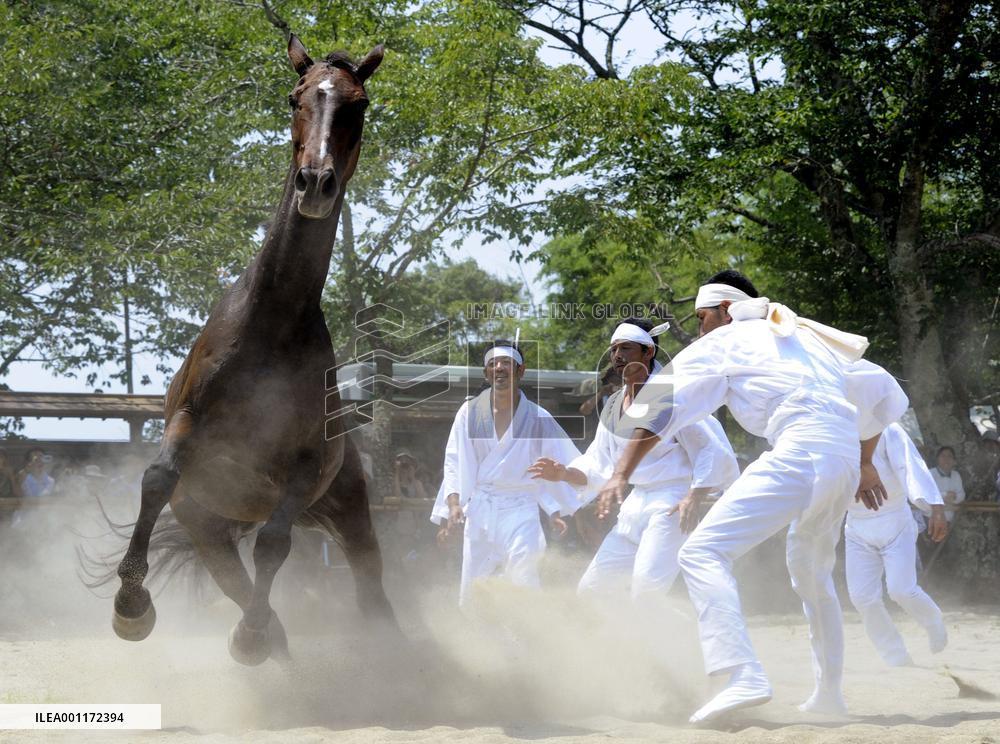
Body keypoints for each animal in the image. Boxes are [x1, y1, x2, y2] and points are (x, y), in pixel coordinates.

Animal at [109, 35, 396, 666]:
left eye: (360, 104)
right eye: (295, 95)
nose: (315, 182)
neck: (272, 328)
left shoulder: (305, 468)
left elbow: (273, 542)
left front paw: (251, 636)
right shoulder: (188, 424)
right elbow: (157, 478)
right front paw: (131, 608)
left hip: (348, 511)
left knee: (368, 593)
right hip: (208, 527)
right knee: (234, 580)